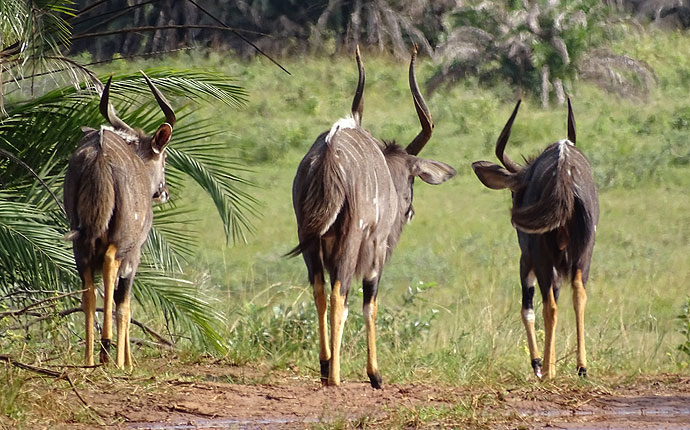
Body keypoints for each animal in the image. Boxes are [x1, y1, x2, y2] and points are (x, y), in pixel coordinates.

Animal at [63, 72, 175, 368]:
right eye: (165, 158)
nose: (164, 192)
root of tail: (99, 156)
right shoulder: (133, 255)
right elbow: (124, 303)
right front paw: (127, 363)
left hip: (80, 243)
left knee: (88, 292)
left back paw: (90, 358)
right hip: (120, 242)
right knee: (110, 271)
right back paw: (105, 351)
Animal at [288, 45, 454, 388]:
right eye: (412, 179)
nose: (409, 211)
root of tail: (327, 156)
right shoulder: (376, 250)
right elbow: (370, 304)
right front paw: (375, 374)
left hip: (307, 239)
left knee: (319, 290)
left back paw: (325, 367)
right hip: (350, 240)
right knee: (339, 296)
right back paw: (335, 376)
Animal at [472, 99, 596, 378]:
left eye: (515, 191)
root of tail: (564, 171)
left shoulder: (527, 260)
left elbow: (527, 308)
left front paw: (539, 363)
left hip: (540, 258)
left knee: (548, 305)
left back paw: (548, 371)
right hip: (583, 254)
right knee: (578, 294)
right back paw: (581, 367)